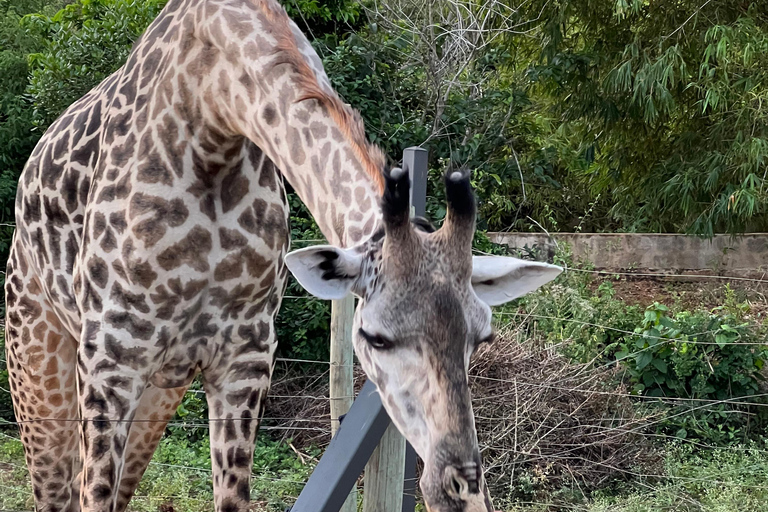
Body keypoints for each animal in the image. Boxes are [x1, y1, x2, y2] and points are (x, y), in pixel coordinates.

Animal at [3, 1, 560, 512]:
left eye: (481, 338)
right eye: (375, 337)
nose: (459, 488)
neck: (211, 107)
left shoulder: (245, 355)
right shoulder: (112, 355)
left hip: (160, 387)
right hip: (40, 367)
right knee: (59, 492)